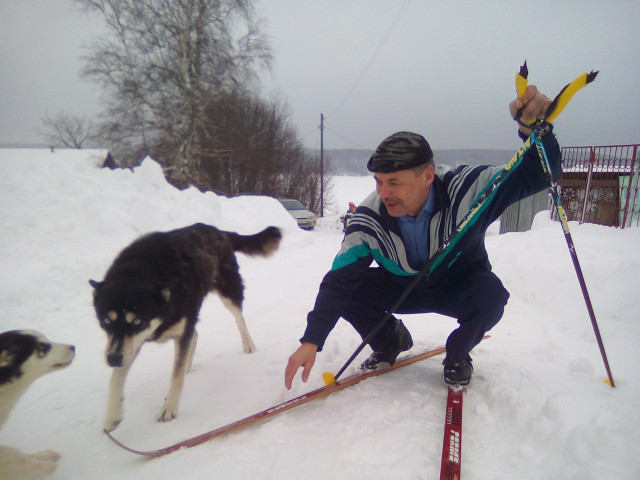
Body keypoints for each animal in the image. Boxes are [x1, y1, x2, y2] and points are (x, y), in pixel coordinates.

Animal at [90, 223, 280, 434]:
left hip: (228, 292)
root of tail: (218, 231)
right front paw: (112, 415)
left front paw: (169, 407)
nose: (113, 359)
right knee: (194, 334)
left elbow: (176, 375)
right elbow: (116, 378)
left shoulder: (156, 332)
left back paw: (247, 343)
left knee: (239, 318)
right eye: (106, 321)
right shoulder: (130, 343)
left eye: (137, 321)